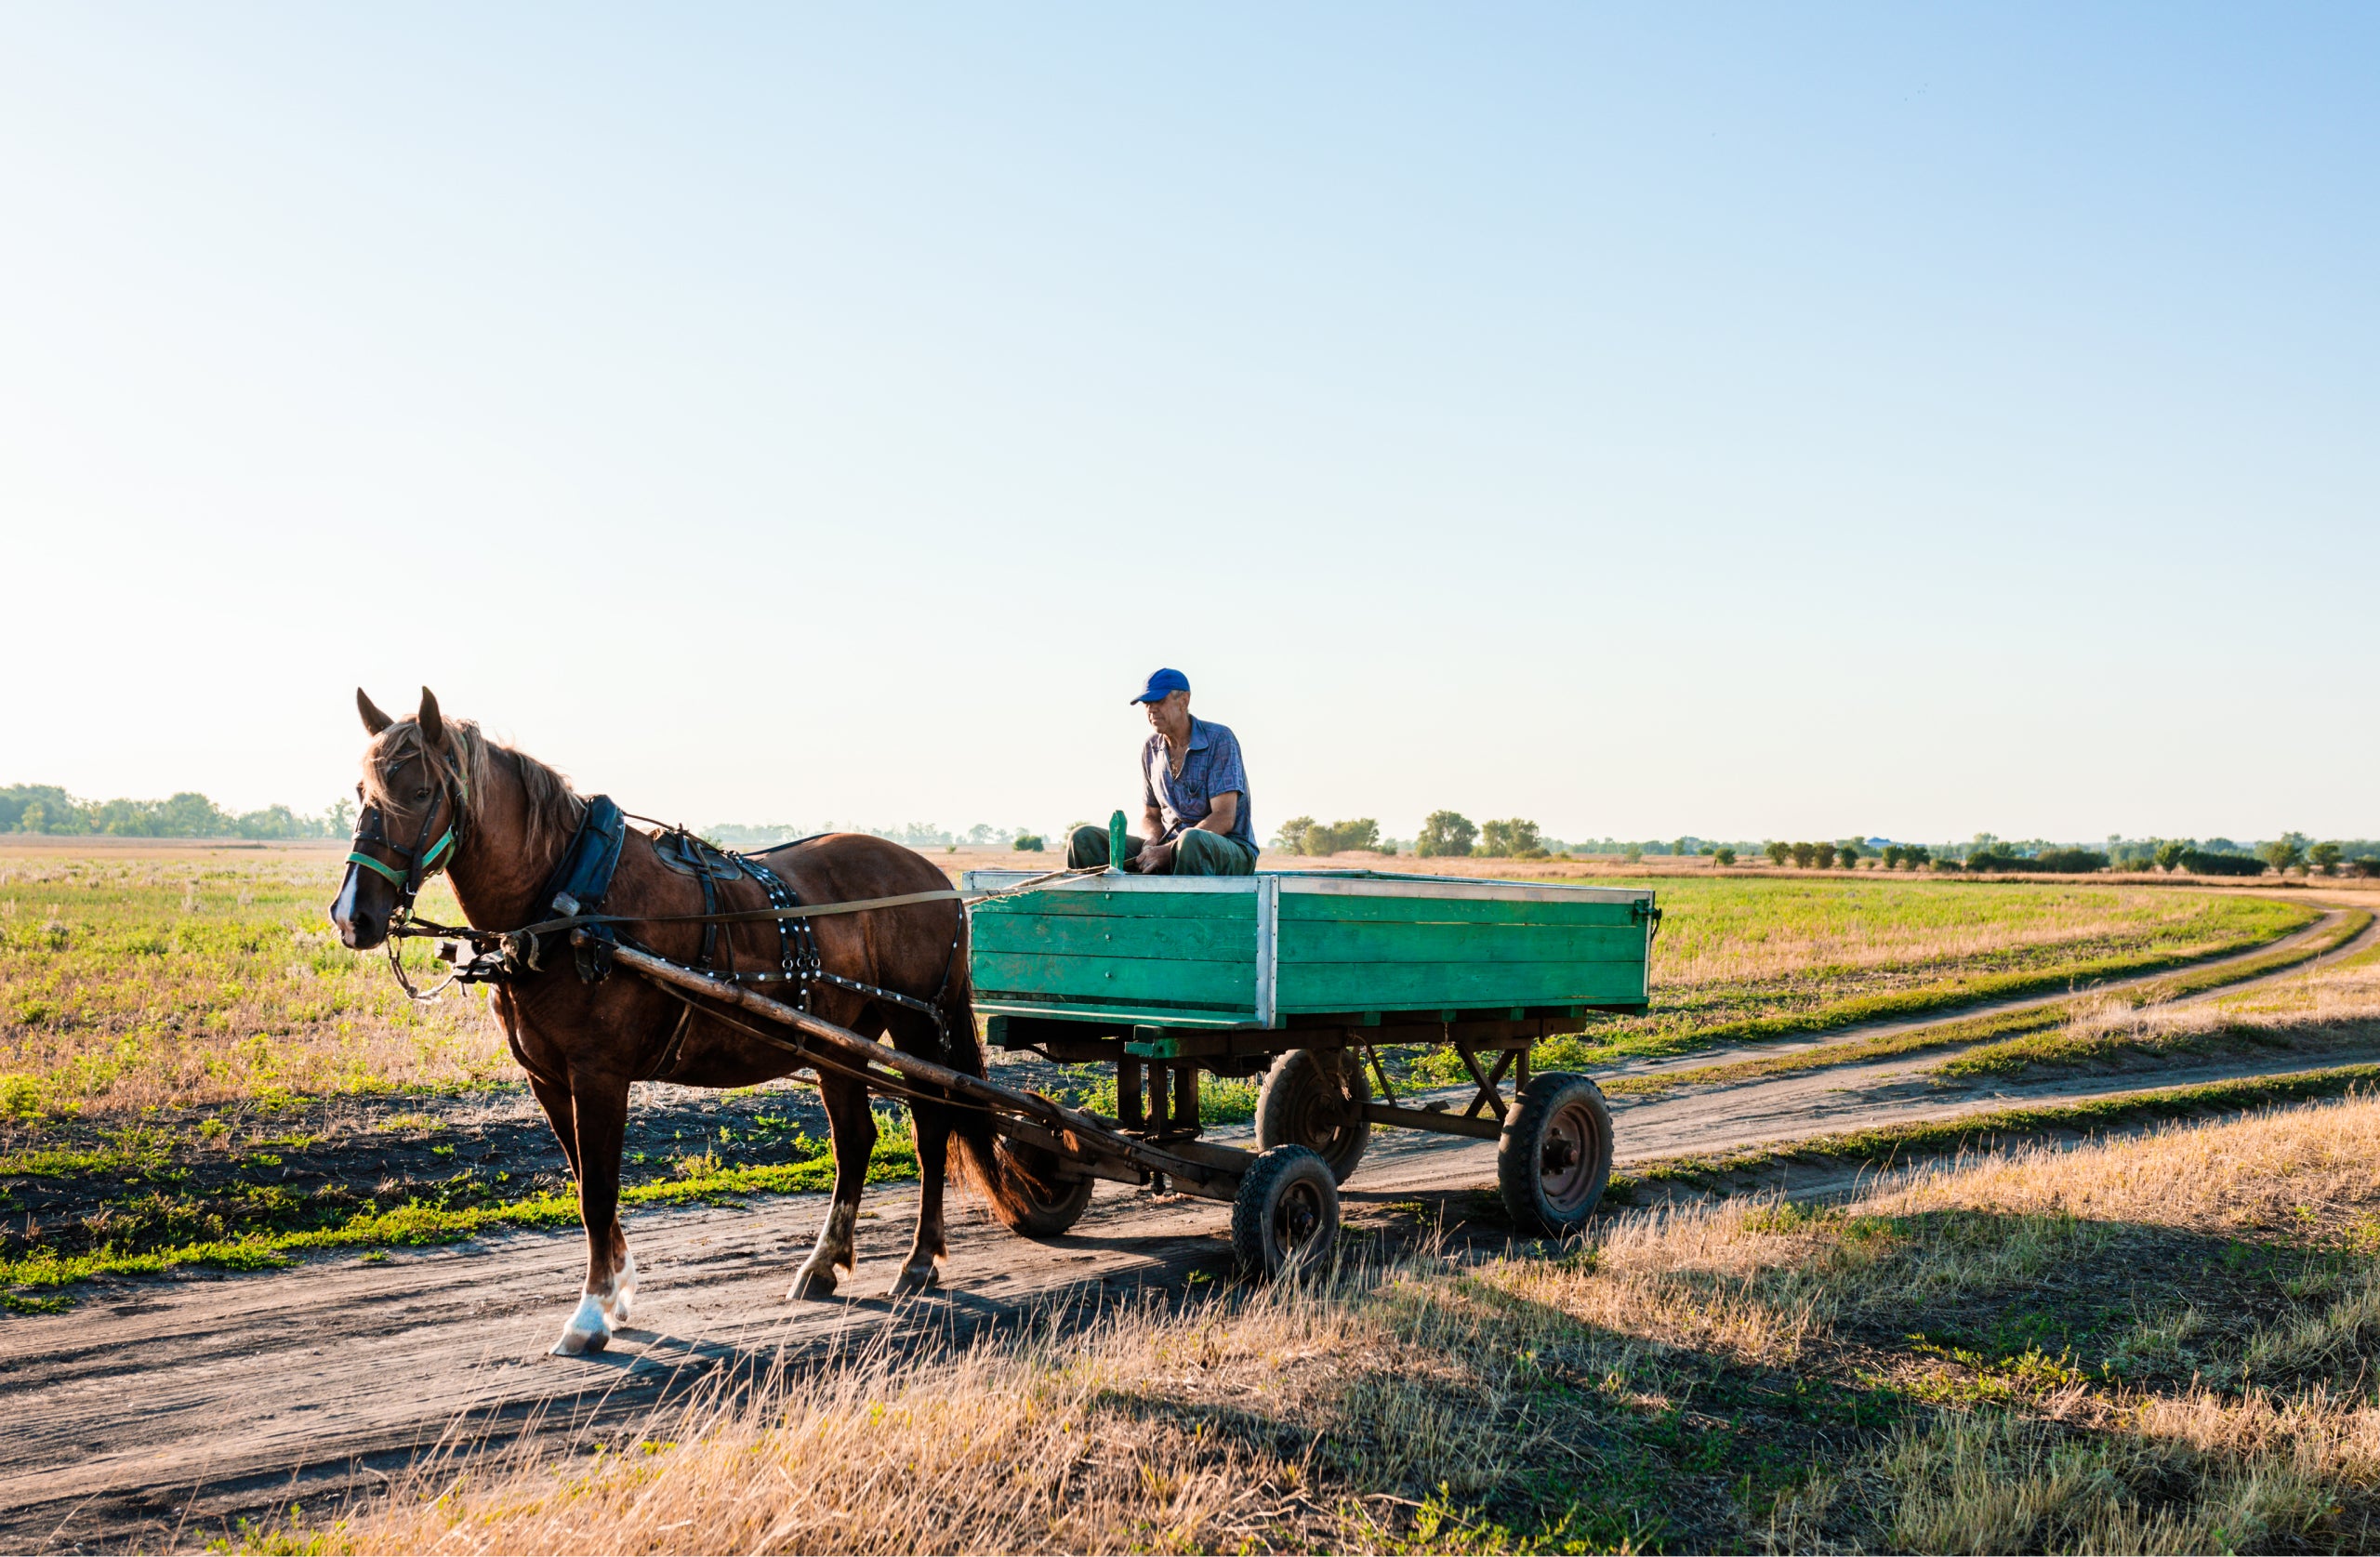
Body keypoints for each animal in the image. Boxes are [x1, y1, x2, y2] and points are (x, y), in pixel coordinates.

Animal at [328, 690, 1033, 1361]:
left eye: (421, 792)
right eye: (362, 793)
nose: (352, 916)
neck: (569, 898)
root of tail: (936, 880)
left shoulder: (600, 1073)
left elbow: (598, 1190)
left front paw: (589, 1315)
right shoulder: (548, 1079)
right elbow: (584, 1179)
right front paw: (618, 1291)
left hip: (917, 1027)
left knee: (932, 1129)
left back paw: (918, 1261)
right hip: (837, 1041)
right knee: (856, 1139)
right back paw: (823, 1264)